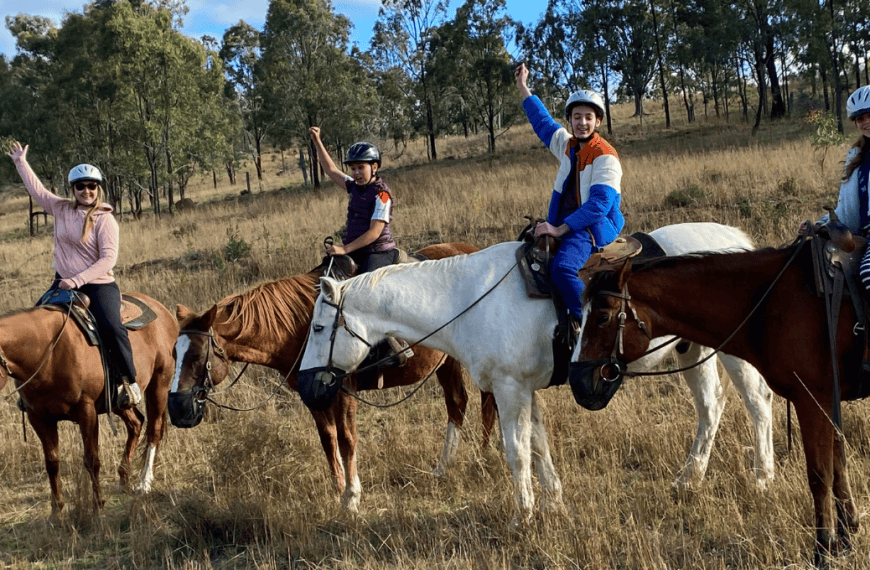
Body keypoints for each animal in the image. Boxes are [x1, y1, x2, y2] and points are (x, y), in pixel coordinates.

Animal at [1, 292, 179, 516]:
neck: (47, 352)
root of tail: (163, 311)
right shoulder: (39, 417)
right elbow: (52, 462)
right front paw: (56, 511)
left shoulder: (87, 411)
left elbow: (91, 459)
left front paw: (97, 506)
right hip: (119, 403)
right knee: (136, 423)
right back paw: (124, 477)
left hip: (160, 382)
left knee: (154, 430)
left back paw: (144, 483)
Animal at [170, 242, 498, 508]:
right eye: (173, 353)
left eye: (197, 356)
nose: (177, 409)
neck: (300, 326)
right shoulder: (312, 394)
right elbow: (328, 439)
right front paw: (338, 488)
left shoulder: (342, 389)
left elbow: (347, 439)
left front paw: (352, 498)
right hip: (447, 362)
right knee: (457, 403)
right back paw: (444, 467)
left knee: (486, 403)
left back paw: (484, 456)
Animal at [298, 221, 776, 520]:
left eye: (319, 327)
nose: (307, 387)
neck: (467, 298)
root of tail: (734, 239)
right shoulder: (525, 389)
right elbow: (539, 445)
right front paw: (553, 503)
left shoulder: (509, 389)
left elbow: (516, 450)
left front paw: (522, 515)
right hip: (692, 351)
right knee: (710, 408)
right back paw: (688, 481)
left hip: (732, 353)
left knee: (757, 402)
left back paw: (763, 478)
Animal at [572, 239, 870, 560]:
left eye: (602, 317)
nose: (577, 381)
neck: (770, 301)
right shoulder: (827, 401)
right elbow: (837, 464)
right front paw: (845, 537)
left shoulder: (812, 399)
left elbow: (819, 473)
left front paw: (823, 549)